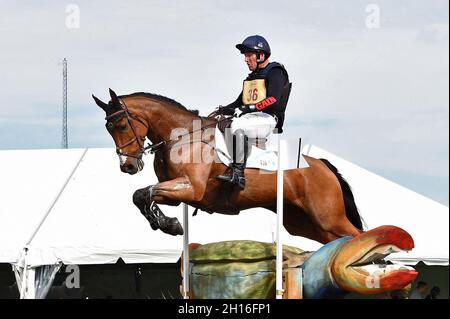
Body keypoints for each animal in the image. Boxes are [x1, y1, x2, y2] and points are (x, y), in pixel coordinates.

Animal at [93, 89, 364, 244]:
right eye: (108, 128)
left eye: (122, 126)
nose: (127, 166)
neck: (181, 136)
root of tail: (323, 166)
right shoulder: (175, 193)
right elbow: (141, 195)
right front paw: (166, 224)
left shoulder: (191, 188)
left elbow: (144, 192)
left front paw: (169, 225)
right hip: (306, 223)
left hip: (328, 218)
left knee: (358, 237)